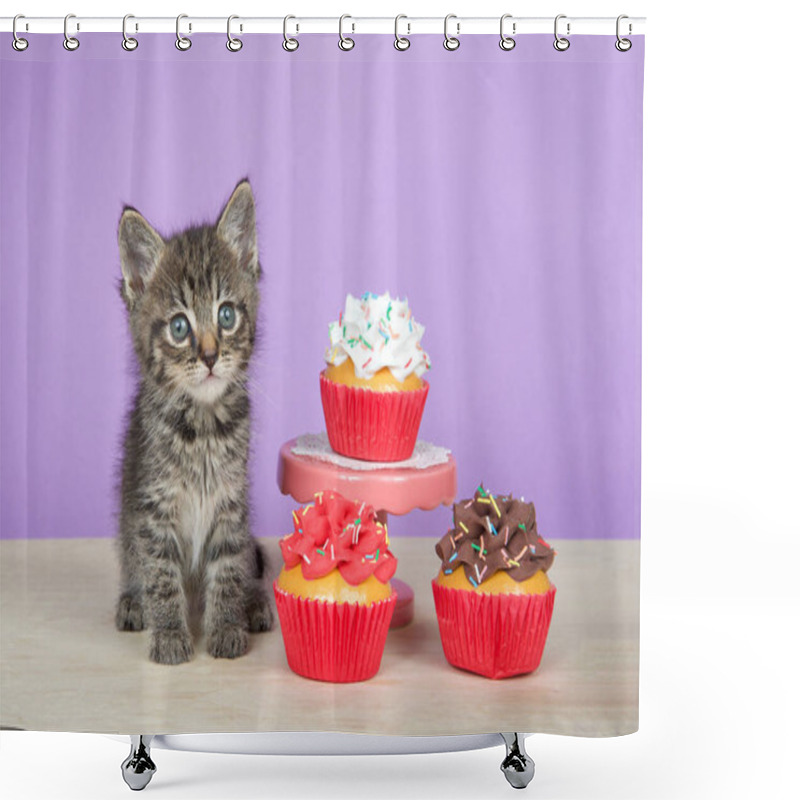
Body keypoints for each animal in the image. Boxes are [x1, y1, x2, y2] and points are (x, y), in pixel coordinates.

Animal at [114, 180, 274, 664]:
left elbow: (229, 565)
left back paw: (254, 602)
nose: (208, 356)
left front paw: (226, 626)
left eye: (226, 315)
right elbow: (161, 572)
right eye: (180, 327)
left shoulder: (231, 502)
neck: (203, 426)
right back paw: (133, 601)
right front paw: (168, 633)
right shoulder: (154, 507)